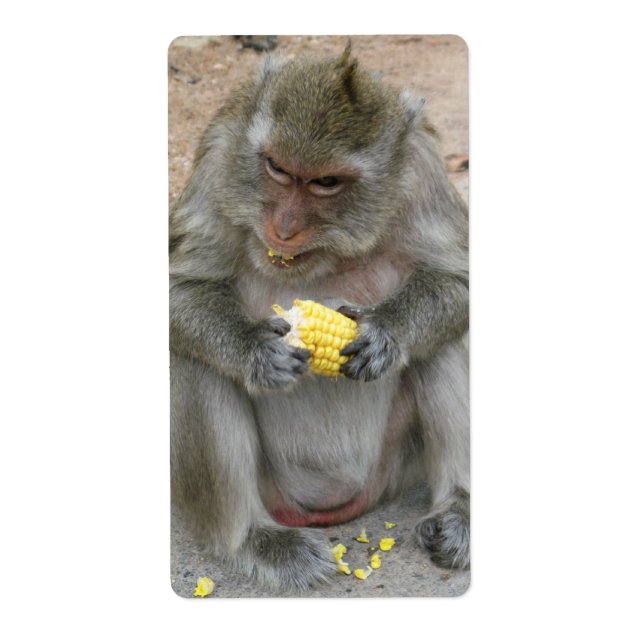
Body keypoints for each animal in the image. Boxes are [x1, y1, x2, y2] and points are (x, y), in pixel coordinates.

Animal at [169, 45, 469, 590]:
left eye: (326, 182)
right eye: (278, 169)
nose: (284, 228)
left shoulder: (424, 168)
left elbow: (455, 279)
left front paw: (386, 334)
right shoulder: (220, 151)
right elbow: (181, 290)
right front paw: (255, 350)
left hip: (394, 466)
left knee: (444, 344)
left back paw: (460, 510)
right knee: (194, 362)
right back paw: (253, 539)